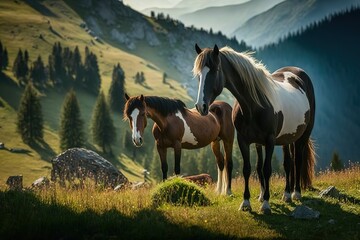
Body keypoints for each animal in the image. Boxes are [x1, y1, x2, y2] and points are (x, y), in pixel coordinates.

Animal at [191, 44, 316, 213]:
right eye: (199, 75)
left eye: (215, 70)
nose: (201, 106)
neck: (255, 105)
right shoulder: (244, 141)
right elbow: (249, 168)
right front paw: (247, 202)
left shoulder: (269, 141)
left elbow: (267, 169)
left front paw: (266, 204)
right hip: (286, 138)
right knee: (288, 163)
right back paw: (287, 194)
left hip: (303, 136)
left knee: (297, 161)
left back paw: (296, 193)